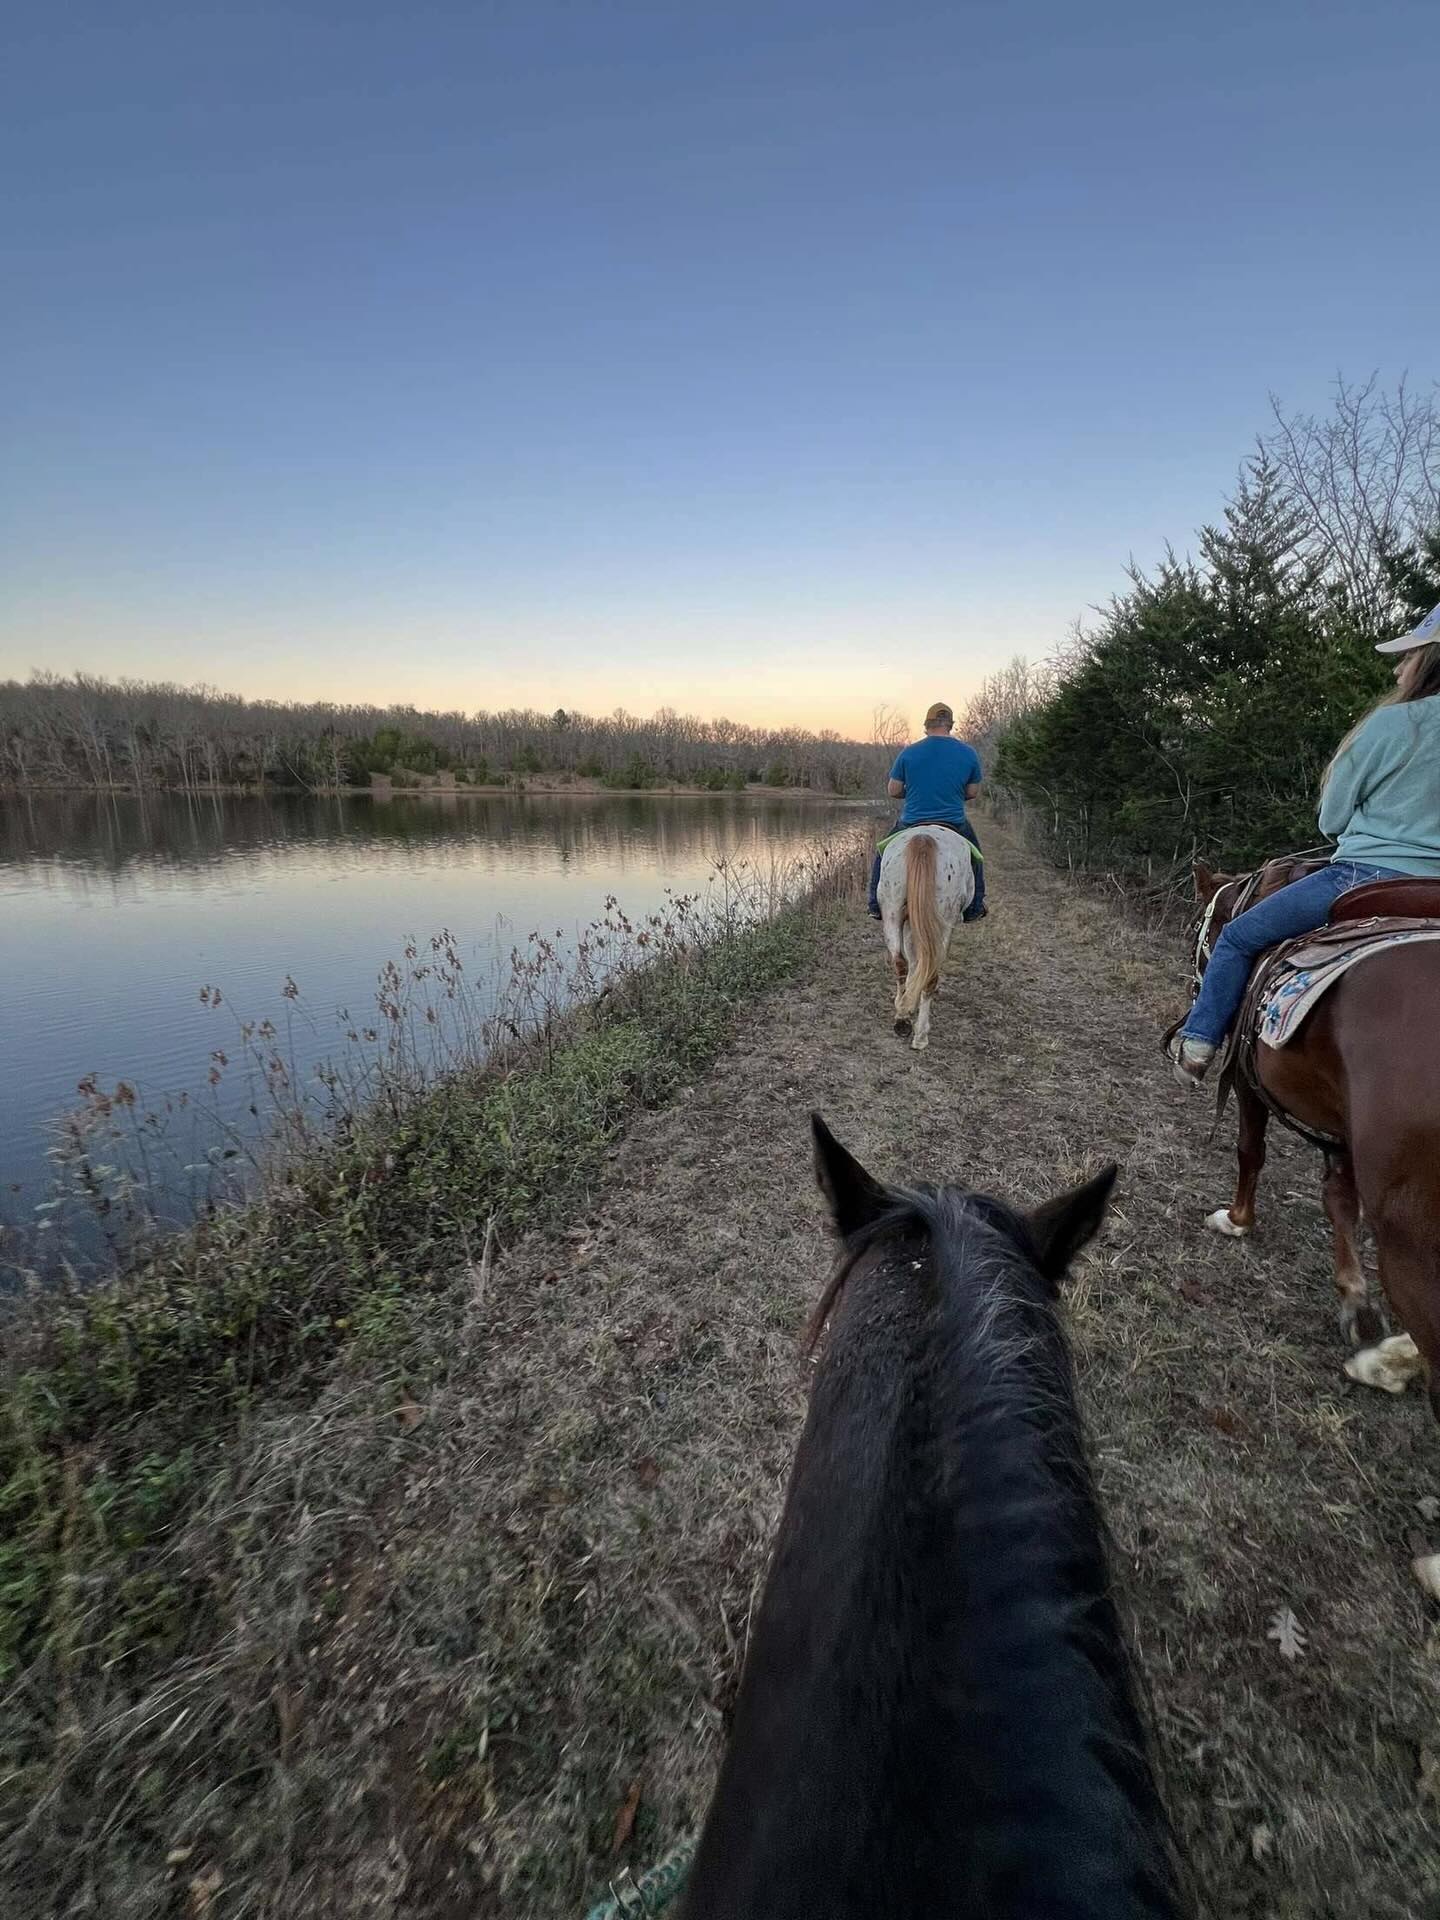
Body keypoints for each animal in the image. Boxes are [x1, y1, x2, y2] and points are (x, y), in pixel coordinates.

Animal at [876, 825, 974, 1051]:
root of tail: (923, 838)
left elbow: (913, 960)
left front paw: (907, 1000)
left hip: (892, 911)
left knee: (899, 962)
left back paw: (902, 1019)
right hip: (943, 922)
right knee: (931, 974)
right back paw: (920, 1035)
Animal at [1188, 860, 1440, 1417]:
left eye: (1205, 924)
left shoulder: (1248, 1080)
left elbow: (1250, 1151)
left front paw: (1236, 1220)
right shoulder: (1342, 1128)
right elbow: (1338, 1199)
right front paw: (1356, 1301)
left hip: (1406, 1231)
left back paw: (1387, 1364)